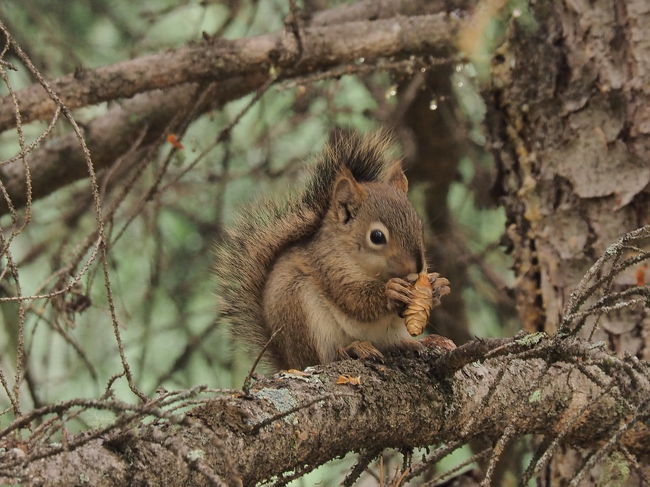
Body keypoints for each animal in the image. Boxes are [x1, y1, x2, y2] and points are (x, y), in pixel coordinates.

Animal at [215, 130, 448, 370]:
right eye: (377, 237)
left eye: (419, 226)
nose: (417, 268)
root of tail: (289, 362)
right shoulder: (329, 267)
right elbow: (354, 300)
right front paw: (391, 291)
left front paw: (439, 285)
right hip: (300, 311)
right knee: (324, 358)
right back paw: (353, 348)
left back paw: (409, 343)